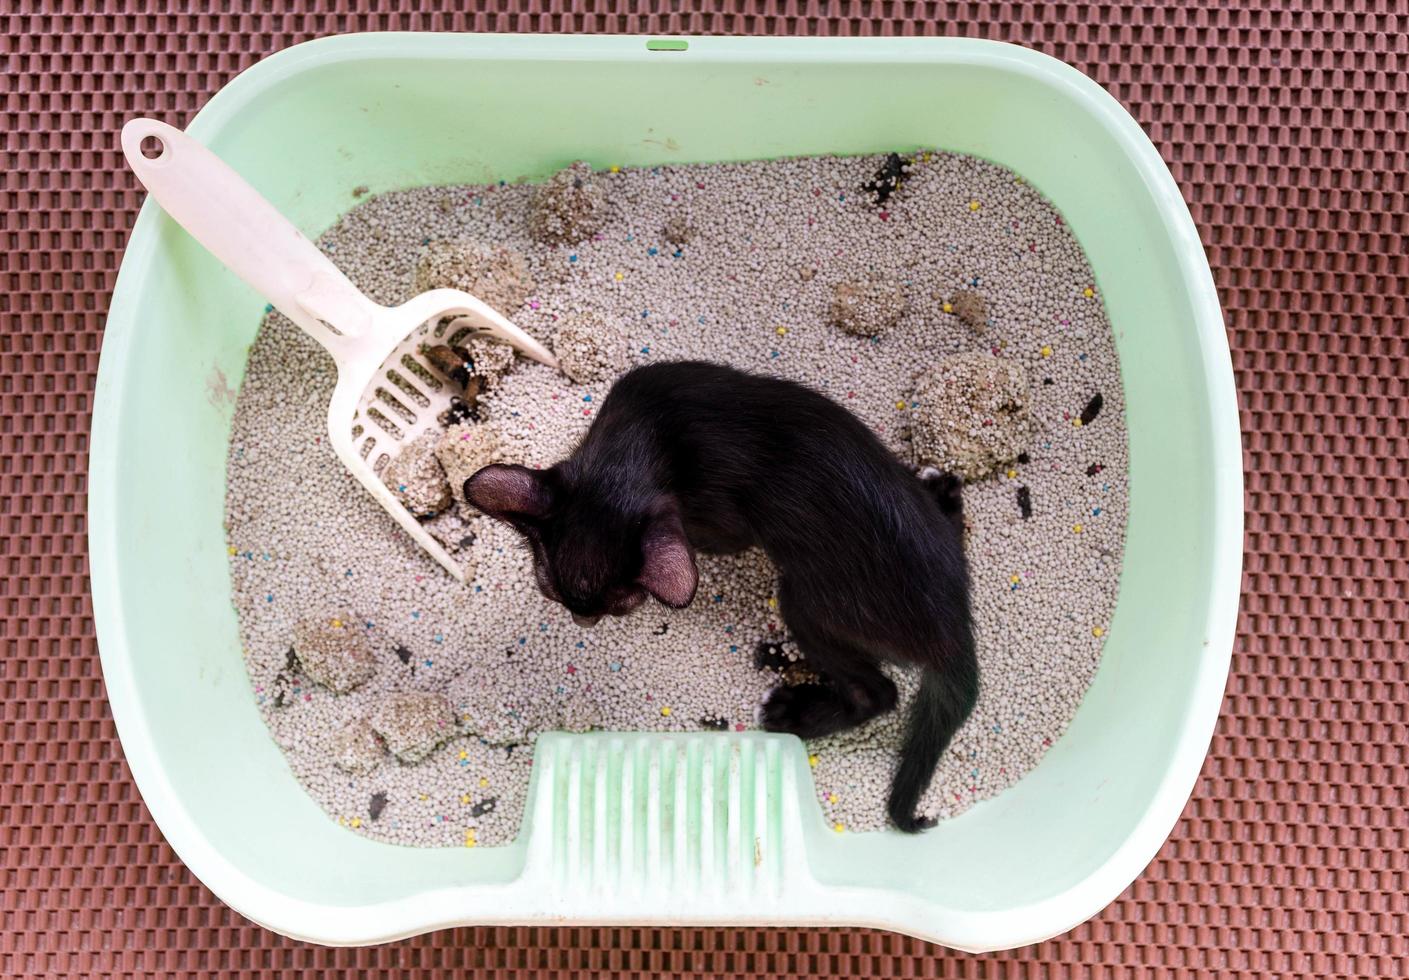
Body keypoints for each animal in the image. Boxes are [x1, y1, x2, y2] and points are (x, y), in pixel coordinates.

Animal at [467, 360, 975, 833]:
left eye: (619, 607)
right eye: (553, 594)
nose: (582, 622)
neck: (645, 434)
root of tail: (954, 623)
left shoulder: (726, 526)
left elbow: (714, 540)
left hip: (807, 604)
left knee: (879, 693)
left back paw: (795, 716)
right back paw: (943, 490)